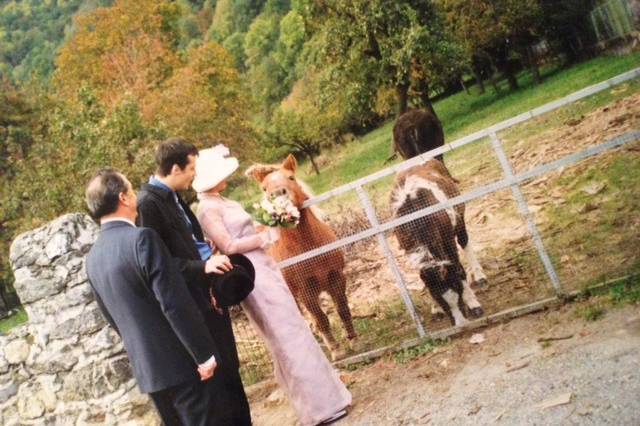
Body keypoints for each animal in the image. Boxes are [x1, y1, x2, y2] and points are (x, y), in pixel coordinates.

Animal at [246, 153, 356, 360]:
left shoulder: (337, 277)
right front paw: (336, 350)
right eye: (264, 188)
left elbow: (343, 309)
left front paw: (353, 340)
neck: (310, 248)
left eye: (291, 177)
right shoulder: (306, 290)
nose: (277, 195)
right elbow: (321, 318)